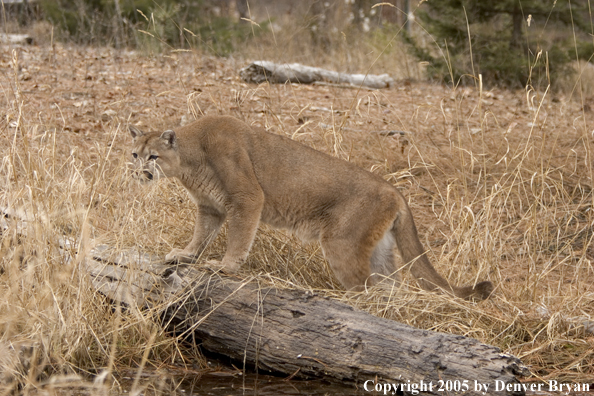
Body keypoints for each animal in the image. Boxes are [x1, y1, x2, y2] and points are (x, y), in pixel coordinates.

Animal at [130, 116, 490, 298]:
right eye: (135, 153)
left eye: (153, 156)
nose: (138, 172)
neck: (190, 158)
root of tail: (395, 191)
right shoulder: (211, 208)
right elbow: (201, 234)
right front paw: (186, 255)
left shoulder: (247, 198)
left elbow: (238, 237)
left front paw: (226, 266)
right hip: (378, 249)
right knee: (392, 287)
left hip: (342, 244)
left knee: (367, 288)